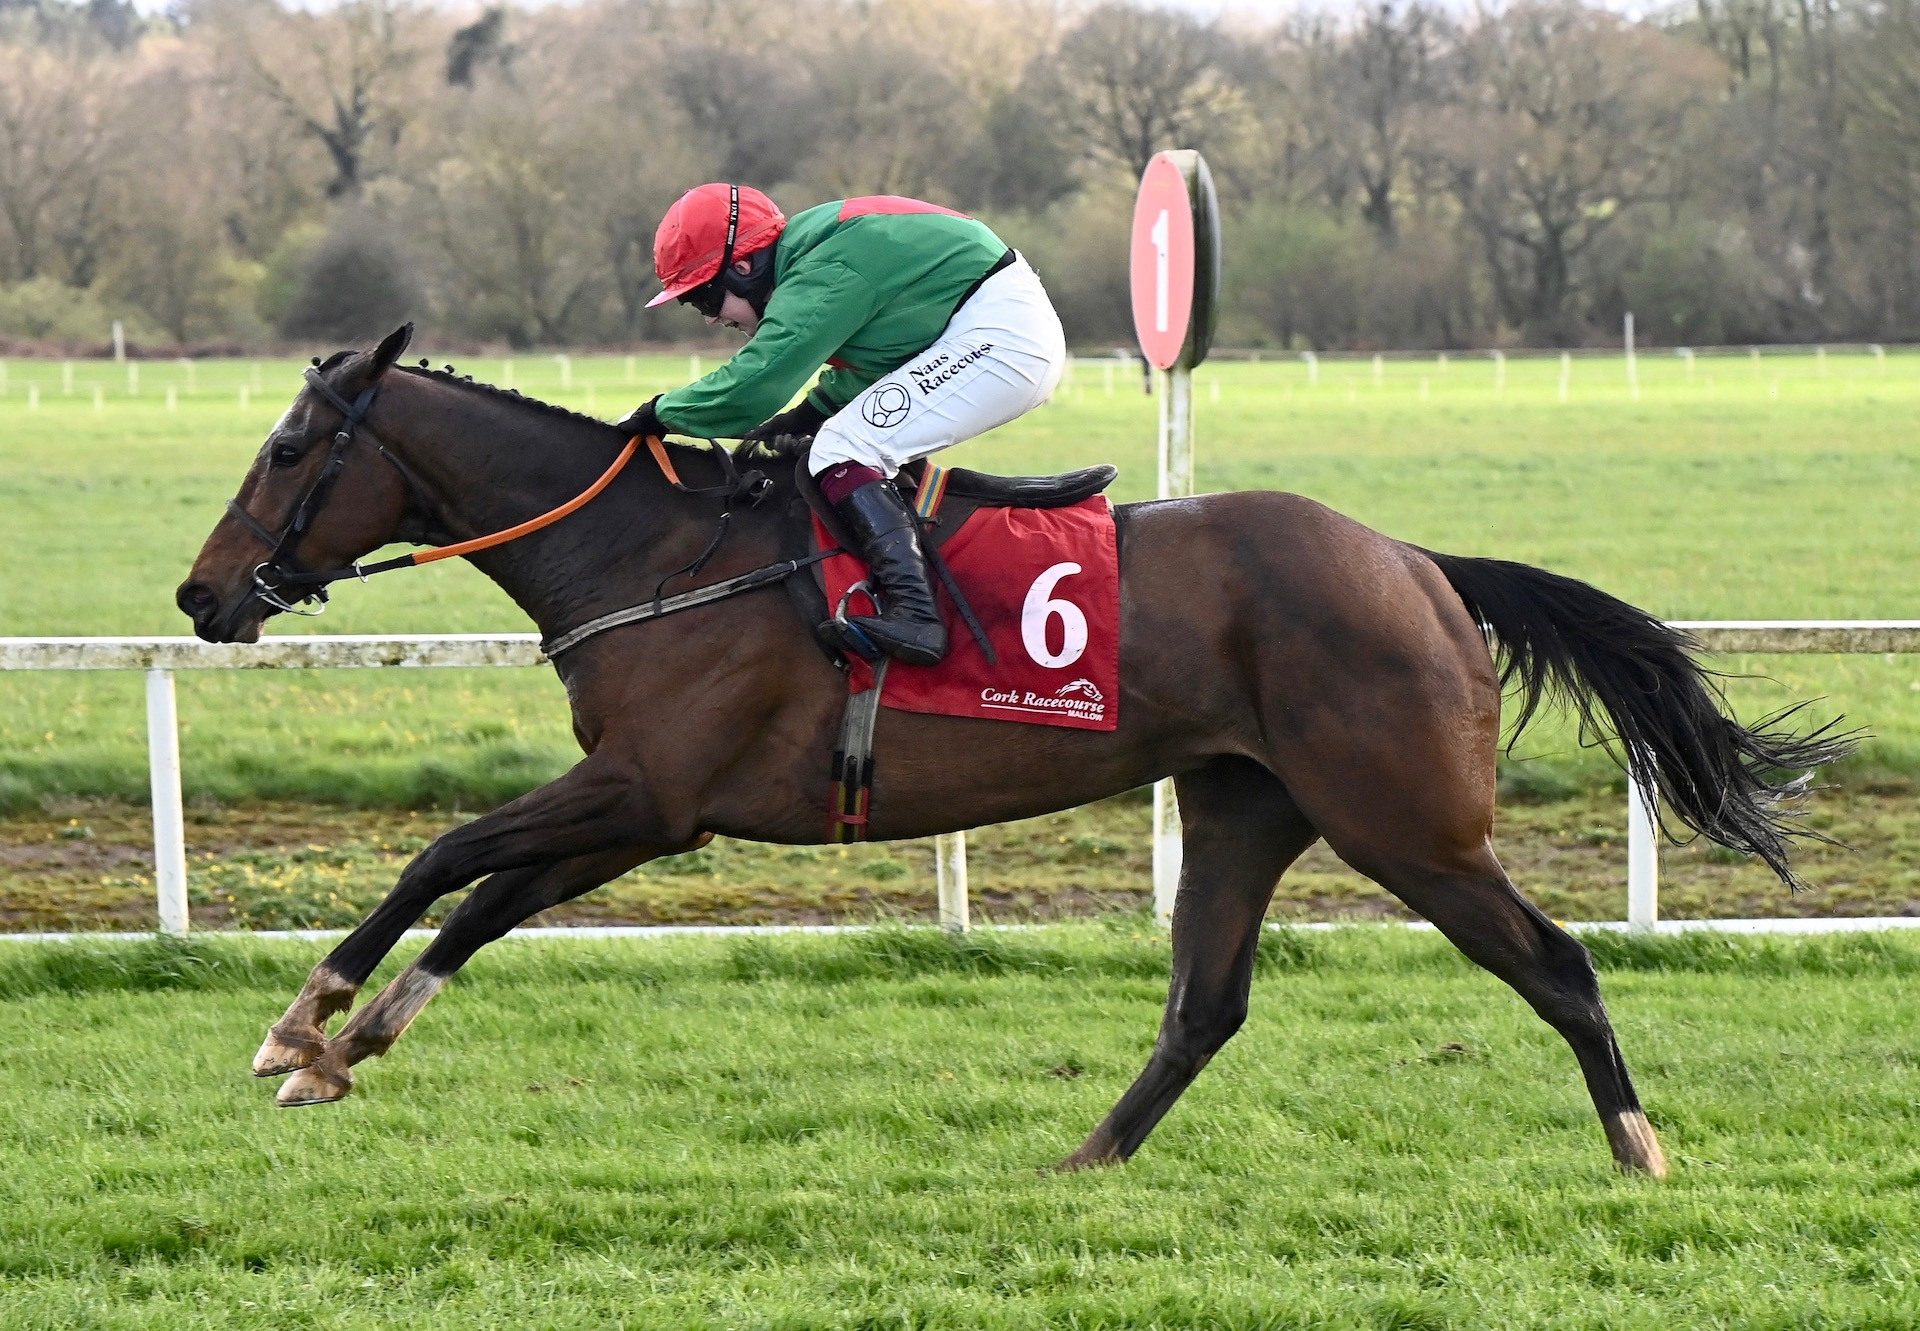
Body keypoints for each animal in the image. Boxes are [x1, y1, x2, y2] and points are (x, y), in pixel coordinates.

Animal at [176, 326, 1843, 1175]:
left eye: (285, 448)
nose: (201, 595)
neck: (650, 547)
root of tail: (1418, 561)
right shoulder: (653, 808)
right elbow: (485, 898)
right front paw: (345, 1045)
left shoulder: (647, 788)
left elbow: (443, 854)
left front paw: (302, 1023)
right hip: (1246, 806)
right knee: (1206, 1002)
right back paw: (1085, 1162)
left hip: (1410, 825)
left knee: (1556, 961)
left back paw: (1639, 1148)